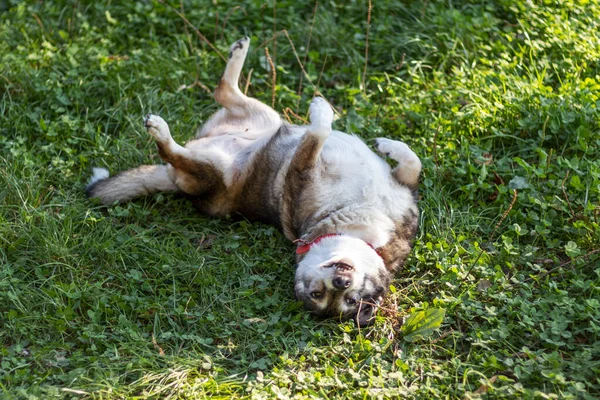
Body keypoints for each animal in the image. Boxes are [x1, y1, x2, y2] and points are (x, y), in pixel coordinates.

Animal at [86, 36, 420, 324]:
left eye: (346, 299)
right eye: (339, 295)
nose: (341, 281)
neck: (366, 236)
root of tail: (173, 178)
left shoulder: (300, 172)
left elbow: (317, 134)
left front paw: (323, 114)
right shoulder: (401, 191)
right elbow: (412, 164)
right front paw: (386, 144)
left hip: (212, 170)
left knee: (172, 149)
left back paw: (160, 130)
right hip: (267, 117)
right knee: (224, 92)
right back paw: (239, 51)